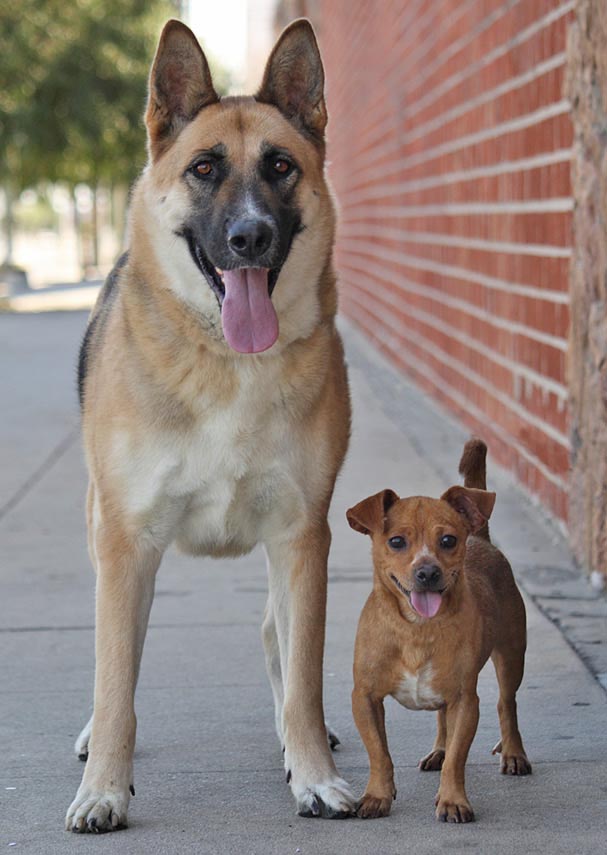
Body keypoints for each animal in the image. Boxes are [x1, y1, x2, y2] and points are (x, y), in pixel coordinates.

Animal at [346, 442, 532, 824]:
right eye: (396, 541)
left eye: (447, 540)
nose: (427, 572)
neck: (416, 629)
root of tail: (480, 537)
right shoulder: (365, 697)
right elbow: (379, 753)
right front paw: (377, 796)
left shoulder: (466, 701)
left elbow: (458, 761)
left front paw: (452, 801)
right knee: (443, 718)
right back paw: (439, 750)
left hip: (511, 657)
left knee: (507, 704)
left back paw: (514, 753)